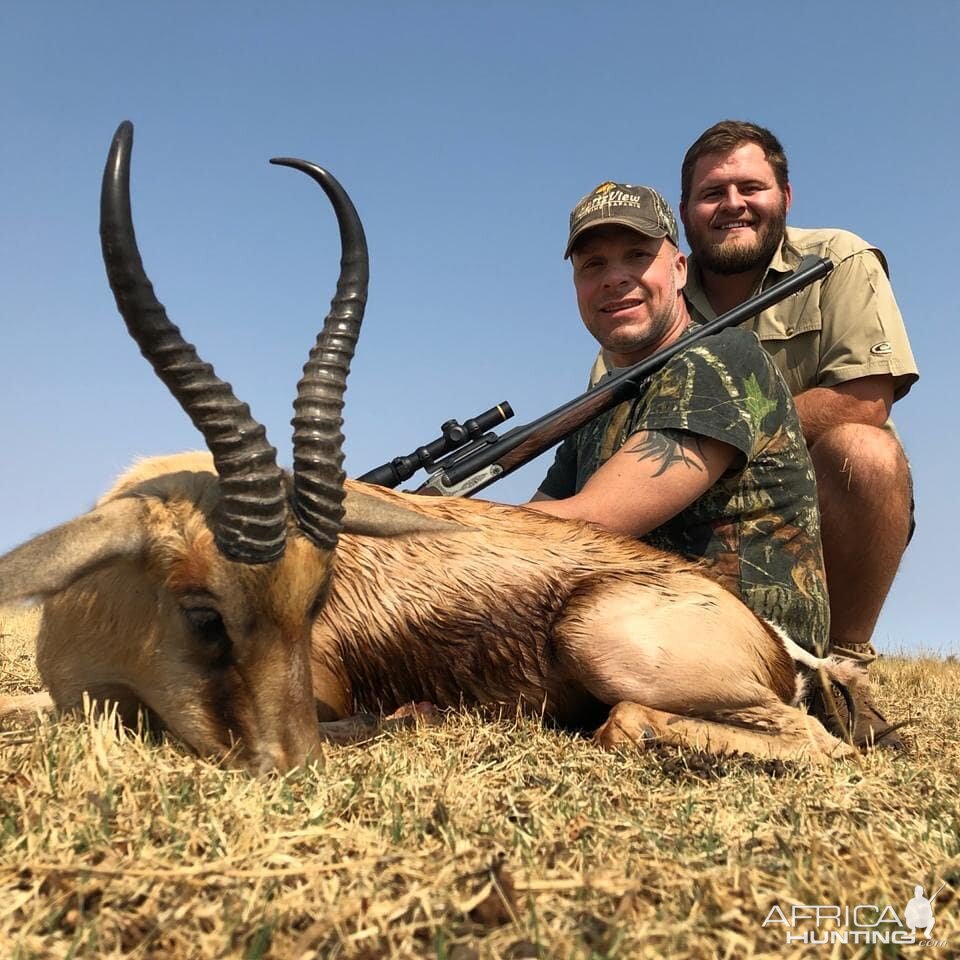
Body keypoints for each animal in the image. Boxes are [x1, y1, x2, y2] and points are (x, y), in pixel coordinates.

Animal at [0, 124, 860, 776]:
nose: (291, 767)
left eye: (315, 601)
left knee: (799, 742)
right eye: (204, 614)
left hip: (607, 643)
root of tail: (779, 643)